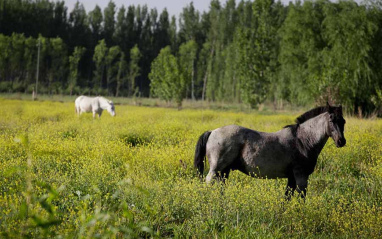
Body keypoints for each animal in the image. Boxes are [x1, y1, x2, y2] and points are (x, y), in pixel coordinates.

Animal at [194, 103, 346, 199]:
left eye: (343, 121)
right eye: (331, 120)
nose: (341, 141)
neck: (303, 140)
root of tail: (212, 131)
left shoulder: (291, 178)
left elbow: (287, 198)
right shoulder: (301, 177)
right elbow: (301, 198)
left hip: (224, 172)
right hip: (216, 170)